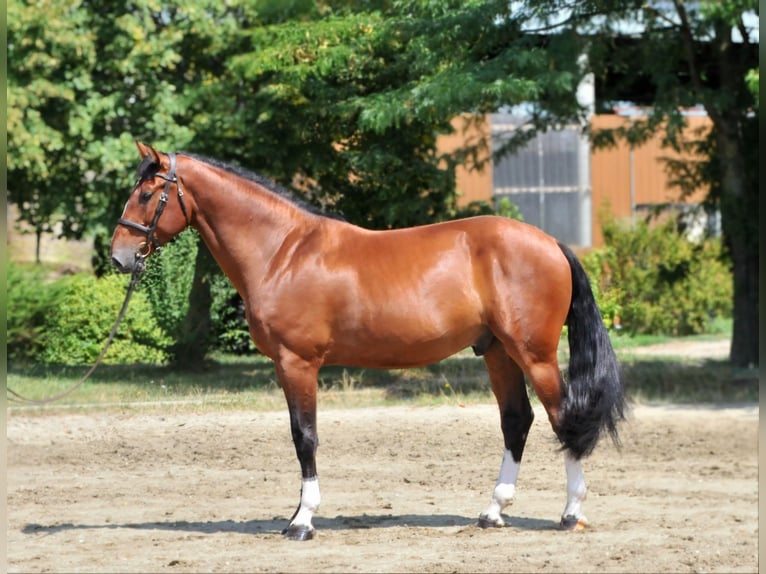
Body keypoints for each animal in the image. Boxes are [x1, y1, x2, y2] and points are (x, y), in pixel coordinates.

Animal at [109, 142, 624, 544]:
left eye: (148, 194)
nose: (119, 257)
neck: (282, 252)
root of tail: (551, 243)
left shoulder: (297, 363)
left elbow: (304, 437)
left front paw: (302, 521)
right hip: (497, 352)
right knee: (517, 420)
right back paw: (493, 512)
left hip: (533, 354)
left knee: (563, 418)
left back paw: (571, 514)